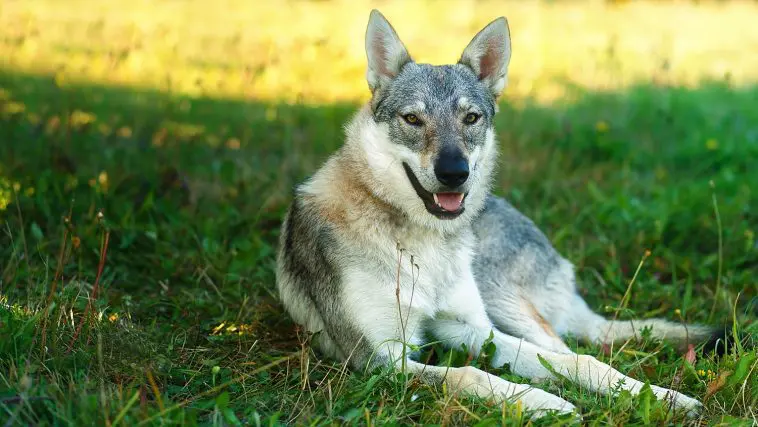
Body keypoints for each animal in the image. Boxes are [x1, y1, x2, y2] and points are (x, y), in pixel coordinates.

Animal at [275, 9, 721, 419]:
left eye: (471, 118)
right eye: (413, 119)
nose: (454, 173)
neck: (423, 243)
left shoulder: (470, 328)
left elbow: (571, 362)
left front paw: (658, 396)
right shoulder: (379, 358)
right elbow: (471, 375)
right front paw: (545, 403)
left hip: (503, 301)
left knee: (577, 348)